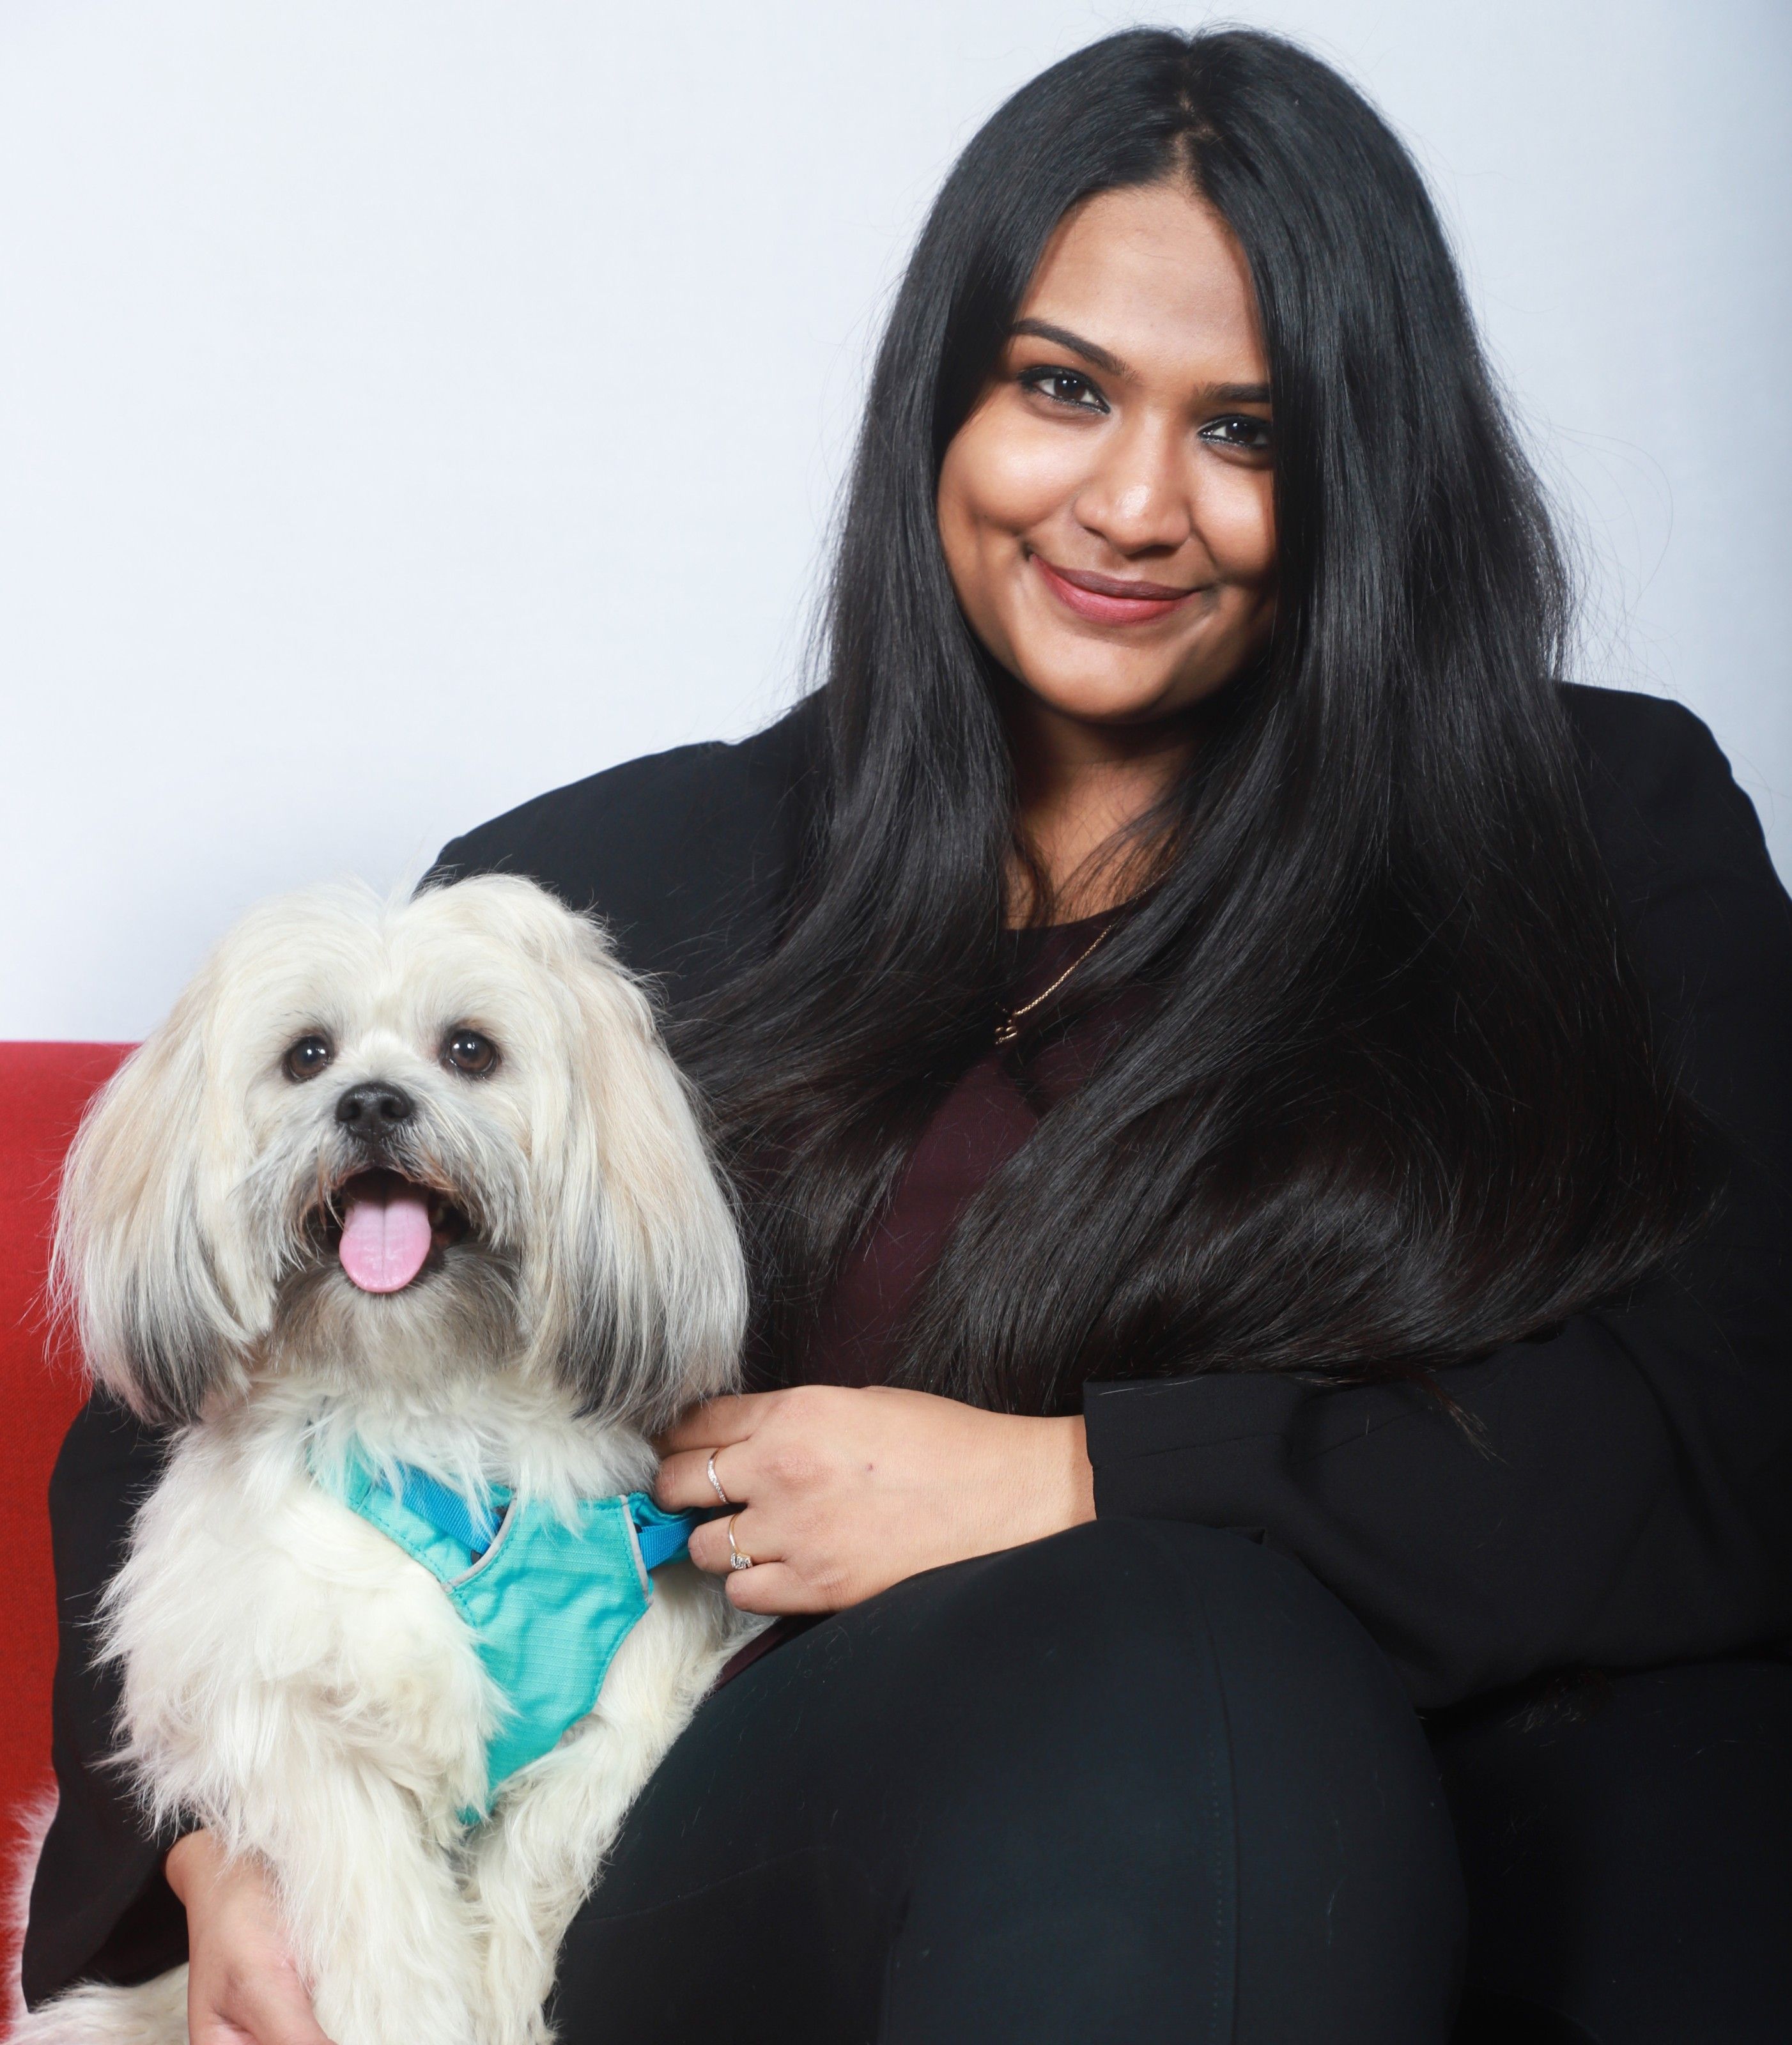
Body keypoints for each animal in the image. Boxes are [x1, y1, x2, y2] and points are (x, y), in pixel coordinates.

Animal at [20, 879, 752, 2045]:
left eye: (470, 1050)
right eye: (308, 1056)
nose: (370, 1104)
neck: (427, 1405)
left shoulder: (628, 1693)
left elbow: (539, 1854)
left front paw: (508, 1994)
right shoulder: (297, 1713)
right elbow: (385, 1924)